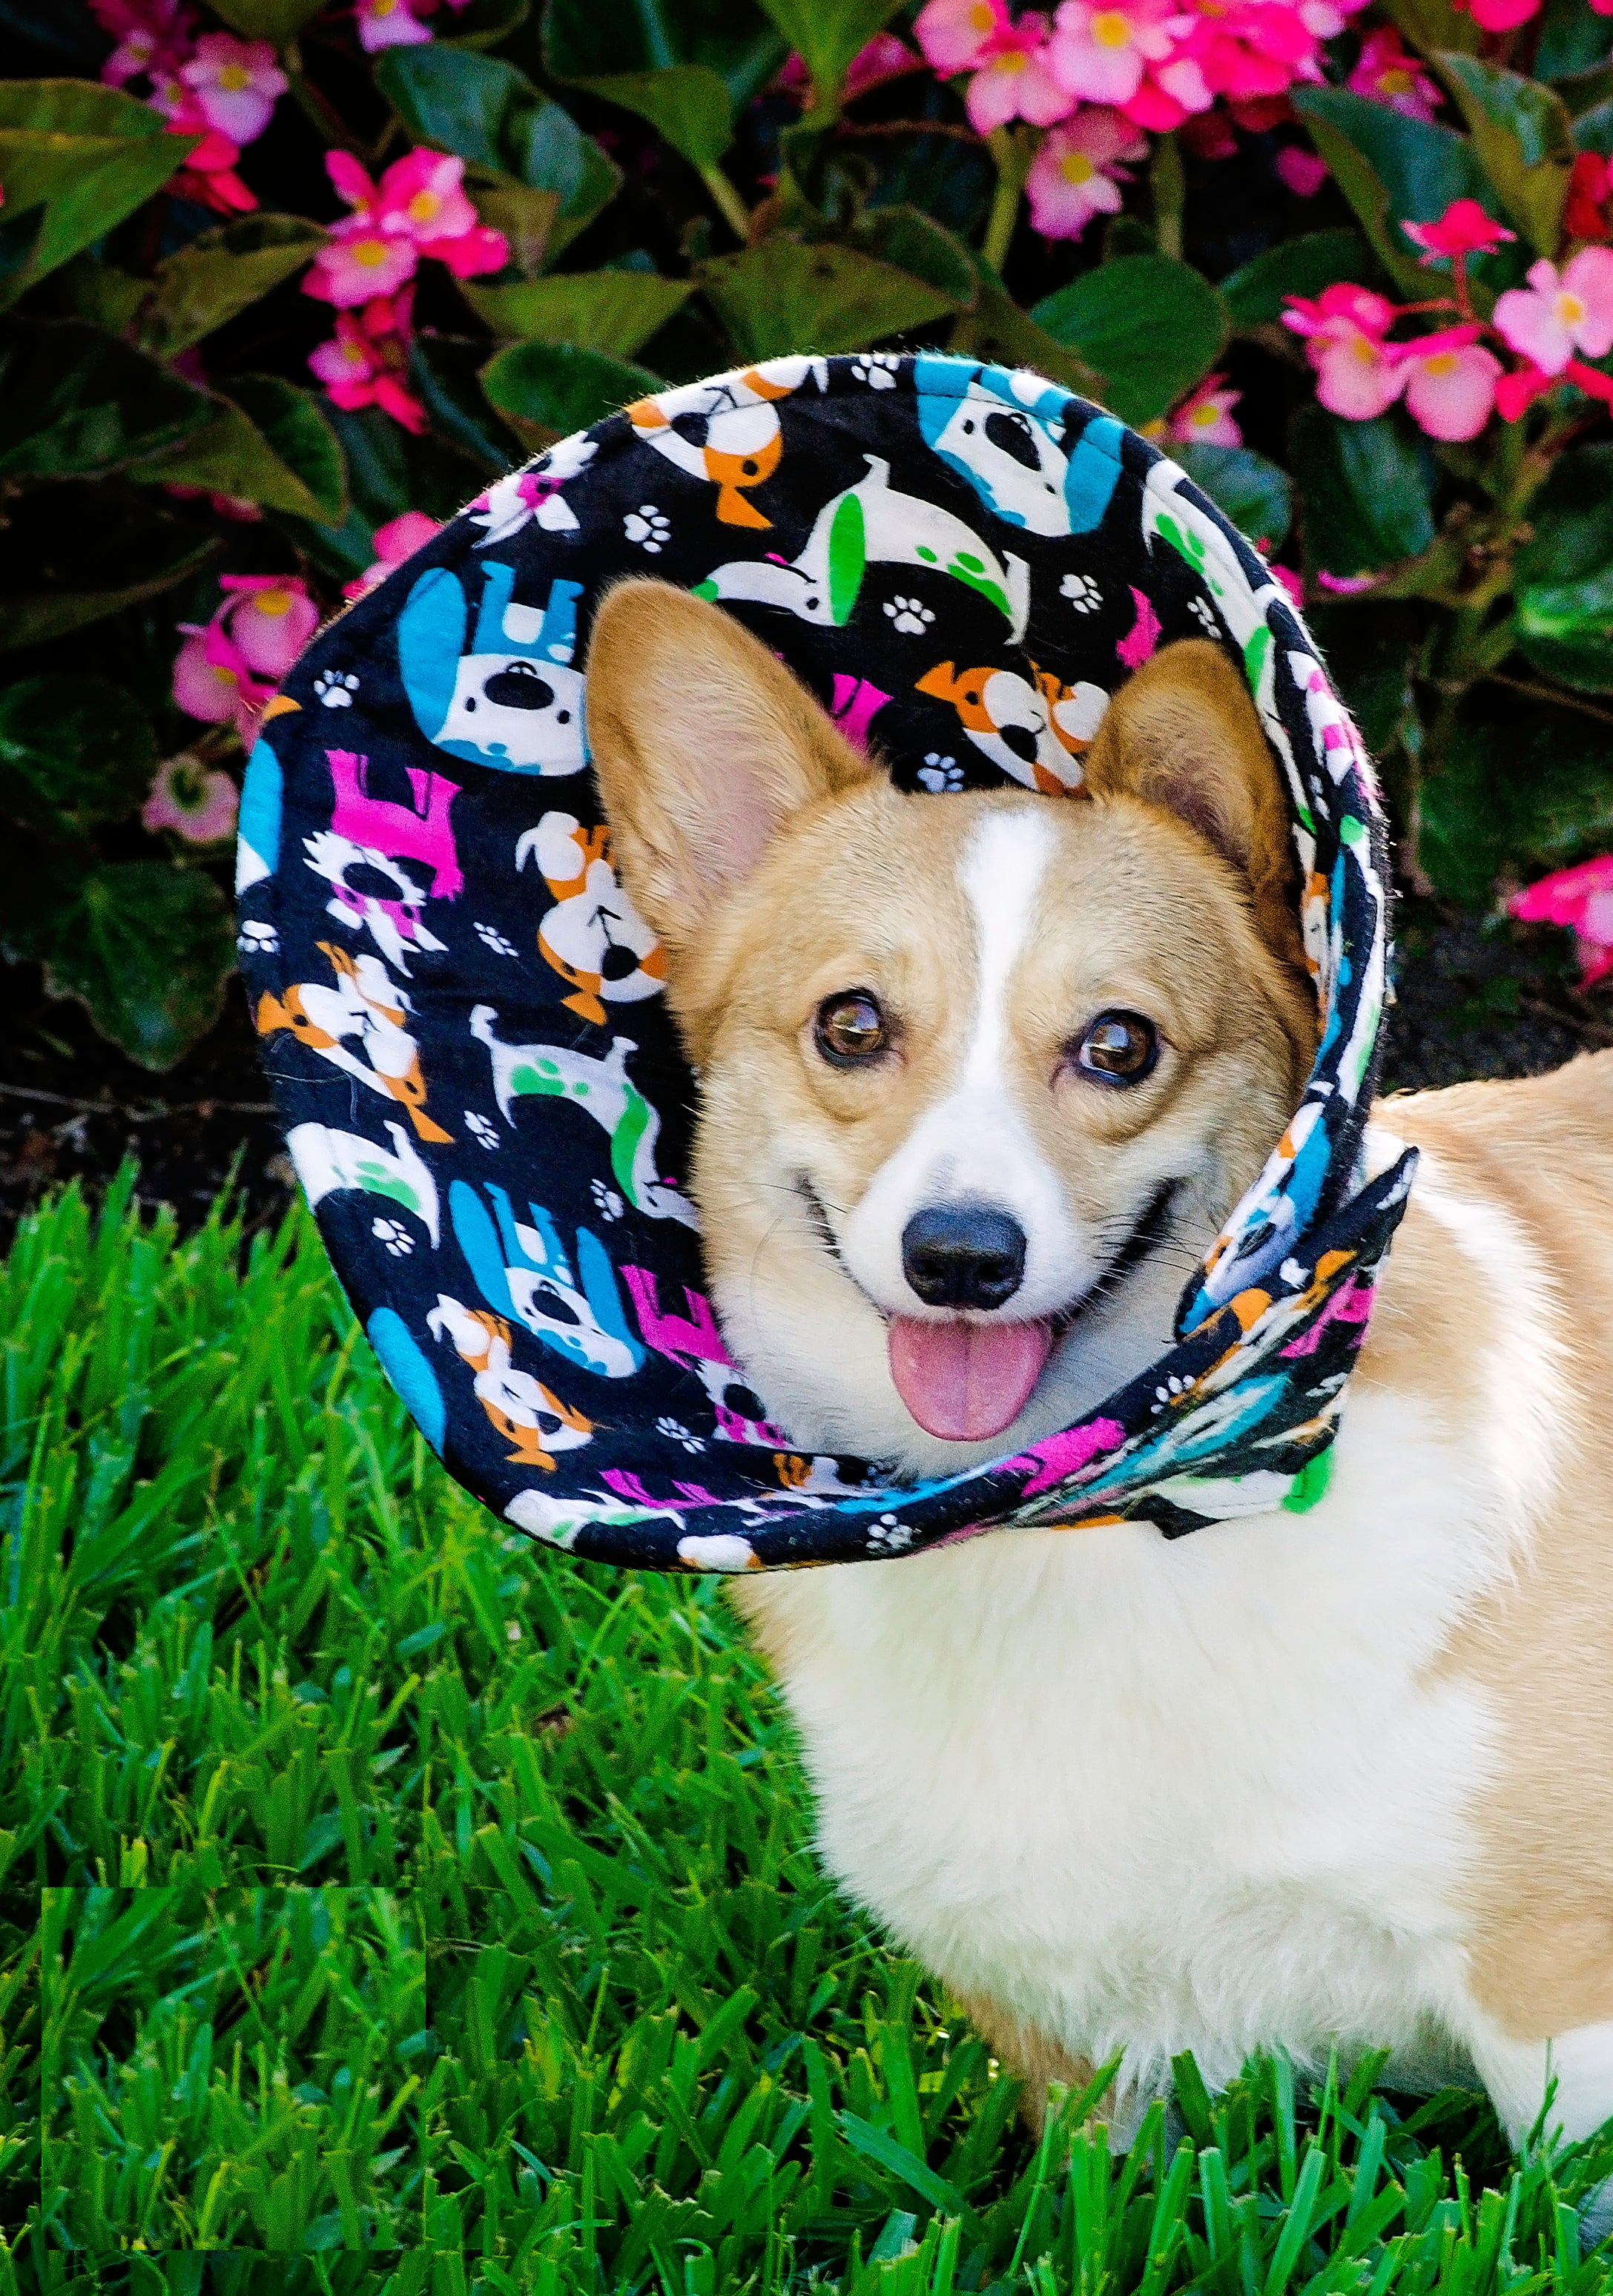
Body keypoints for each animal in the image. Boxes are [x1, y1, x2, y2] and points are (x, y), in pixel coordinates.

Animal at [587, 583, 1613, 2158]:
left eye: (1120, 1044)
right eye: (850, 1025)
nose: (960, 1258)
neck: (1102, 1528)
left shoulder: (1559, 1991)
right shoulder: (1083, 2050)